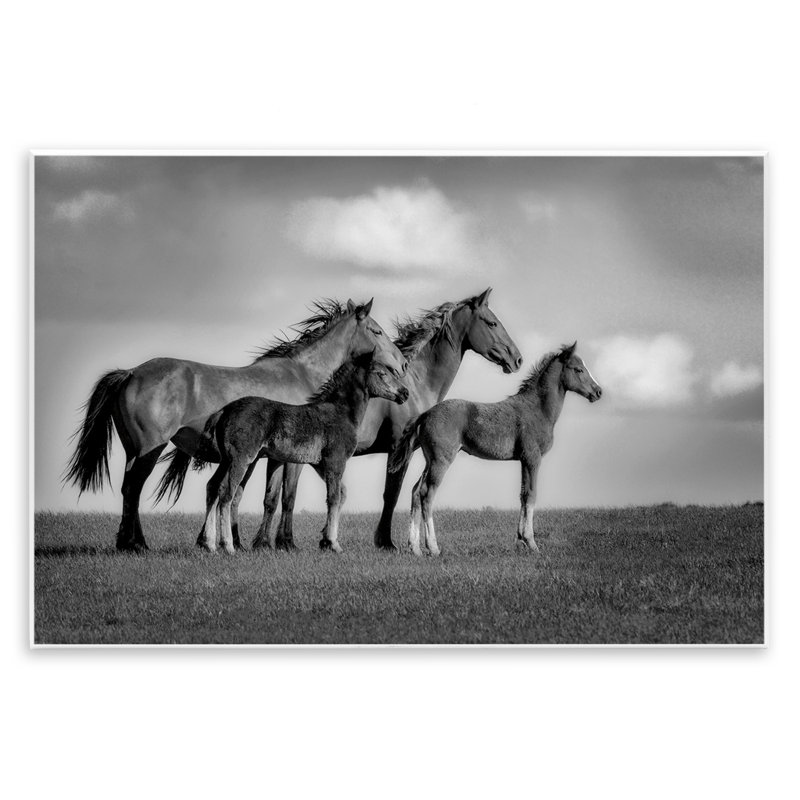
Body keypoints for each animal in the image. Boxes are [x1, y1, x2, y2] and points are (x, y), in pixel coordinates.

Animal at [198, 351, 409, 554]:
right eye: (382, 374)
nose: (404, 393)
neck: (340, 413)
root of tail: (224, 410)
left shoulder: (320, 464)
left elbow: (342, 494)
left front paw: (325, 539)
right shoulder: (335, 461)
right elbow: (333, 498)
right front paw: (333, 544)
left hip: (226, 460)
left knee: (212, 487)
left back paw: (209, 544)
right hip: (241, 459)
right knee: (226, 493)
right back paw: (228, 546)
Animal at [388, 342, 602, 555]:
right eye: (578, 369)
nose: (598, 391)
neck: (538, 409)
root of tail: (425, 414)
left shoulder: (524, 460)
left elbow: (523, 495)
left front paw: (520, 540)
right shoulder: (533, 458)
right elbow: (531, 495)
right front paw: (531, 543)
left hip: (430, 460)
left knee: (416, 491)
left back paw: (415, 548)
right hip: (441, 461)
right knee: (427, 494)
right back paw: (433, 548)